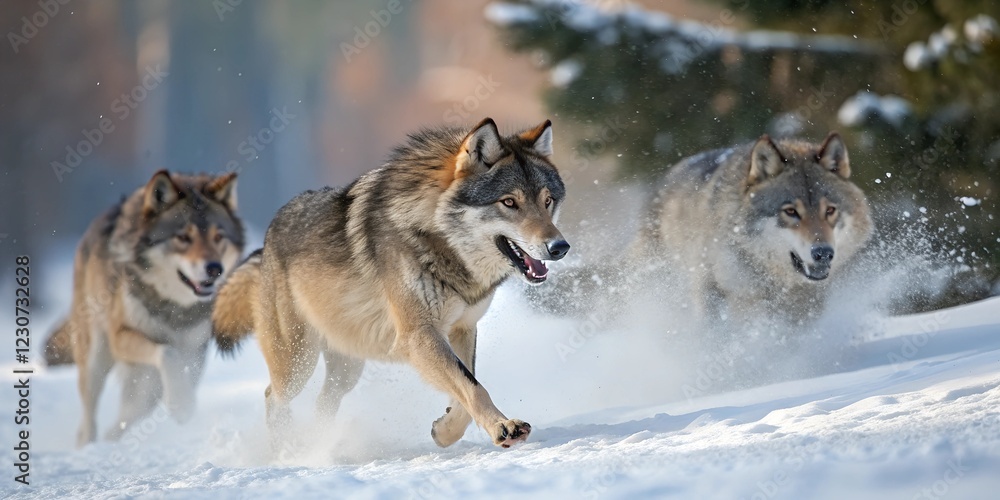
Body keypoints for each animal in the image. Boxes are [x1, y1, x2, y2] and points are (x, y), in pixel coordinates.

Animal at [43, 170, 244, 447]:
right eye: (183, 238)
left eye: (218, 237)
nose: (215, 269)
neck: (174, 308)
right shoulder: (121, 337)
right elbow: (167, 352)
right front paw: (181, 405)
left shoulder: (194, 351)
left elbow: (180, 370)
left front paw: (183, 404)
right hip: (96, 358)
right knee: (88, 418)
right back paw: (88, 445)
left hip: (144, 384)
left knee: (128, 415)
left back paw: (112, 439)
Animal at [212, 118, 569, 449]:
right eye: (509, 202)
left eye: (547, 201)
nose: (560, 247)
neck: (436, 235)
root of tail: (266, 242)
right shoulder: (419, 335)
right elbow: (472, 385)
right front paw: (503, 427)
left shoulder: (462, 328)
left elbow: (466, 385)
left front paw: (444, 431)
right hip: (298, 363)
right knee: (272, 396)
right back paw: (288, 448)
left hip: (346, 368)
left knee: (323, 402)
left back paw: (322, 444)